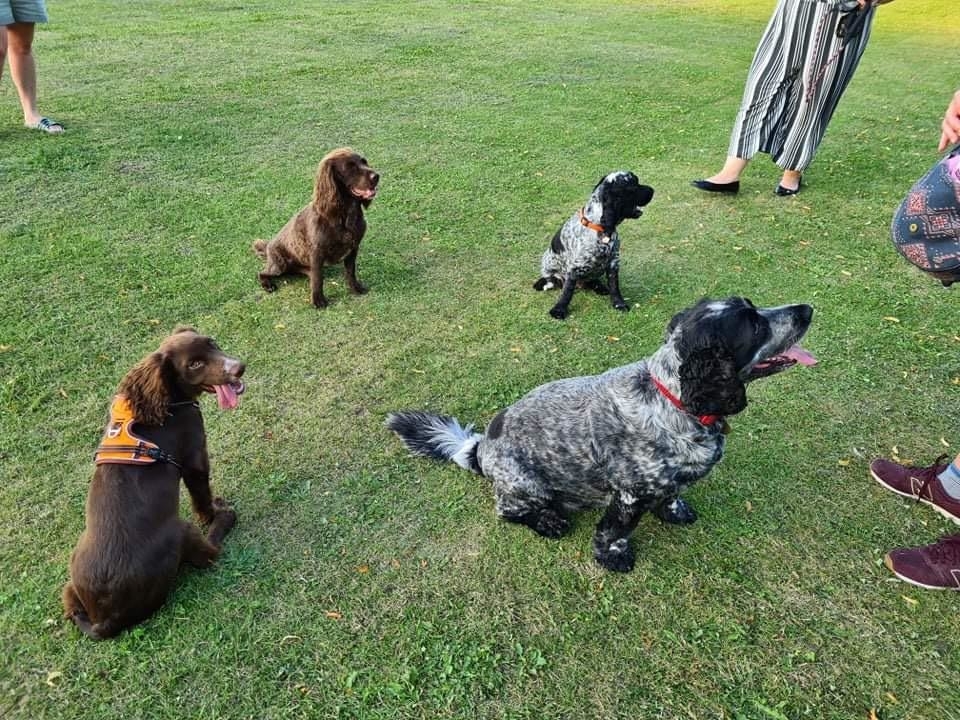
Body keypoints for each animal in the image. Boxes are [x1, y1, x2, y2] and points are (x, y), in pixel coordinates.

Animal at [386, 298, 812, 572]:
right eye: (754, 325)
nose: (807, 309)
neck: (672, 398)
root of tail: (479, 449)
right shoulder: (628, 495)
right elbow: (615, 532)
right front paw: (614, 557)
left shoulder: (668, 480)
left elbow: (673, 495)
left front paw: (675, 512)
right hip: (526, 485)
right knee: (509, 511)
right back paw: (548, 521)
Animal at [528, 170, 656, 320]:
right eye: (634, 184)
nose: (652, 190)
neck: (600, 228)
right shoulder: (574, 268)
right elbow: (567, 292)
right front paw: (559, 309)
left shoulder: (613, 263)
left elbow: (614, 287)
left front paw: (619, 304)